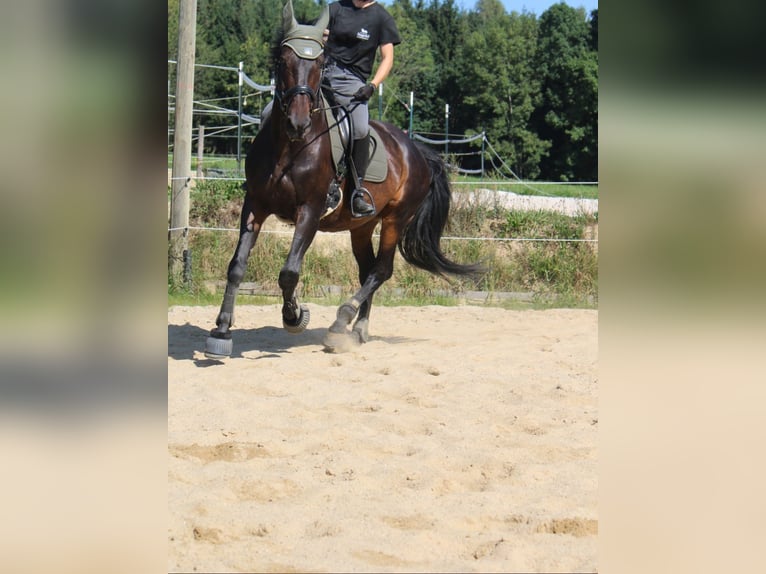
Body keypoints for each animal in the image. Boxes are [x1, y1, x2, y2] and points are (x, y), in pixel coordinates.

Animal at [205, 1, 482, 358]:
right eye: (283, 61)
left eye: (320, 63)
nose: (297, 123)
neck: (290, 147)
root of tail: (417, 151)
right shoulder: (255, 205)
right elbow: (237, 266)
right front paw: (222, 331)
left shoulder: (310, 211)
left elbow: (289, 272)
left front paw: (295, 316)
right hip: (361, 226)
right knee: (367, 269)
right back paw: (357, 328)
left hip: (395, 218)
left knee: (381, 270)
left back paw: (342, 321)